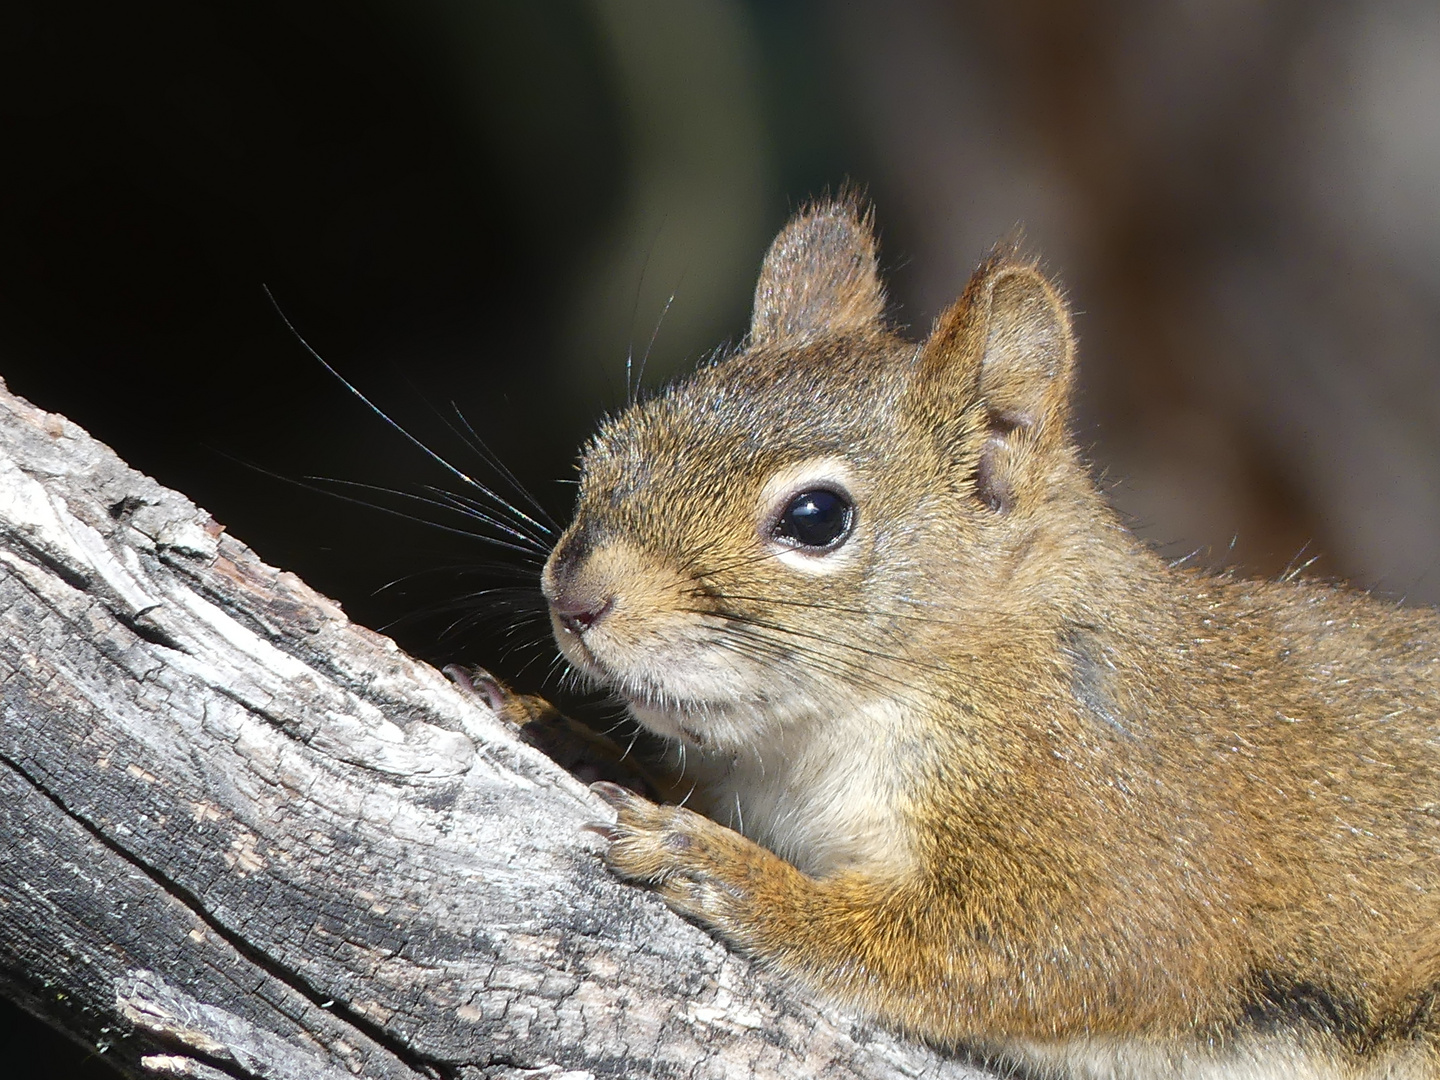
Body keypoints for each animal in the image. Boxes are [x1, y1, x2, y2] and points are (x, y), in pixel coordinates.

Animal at [501, 197, 1440, 1080]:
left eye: (817, 517)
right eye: (618, 440)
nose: (573, 597)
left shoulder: (1117, 829)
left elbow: (1041, 954)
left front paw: (730, 873)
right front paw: (554, 724)